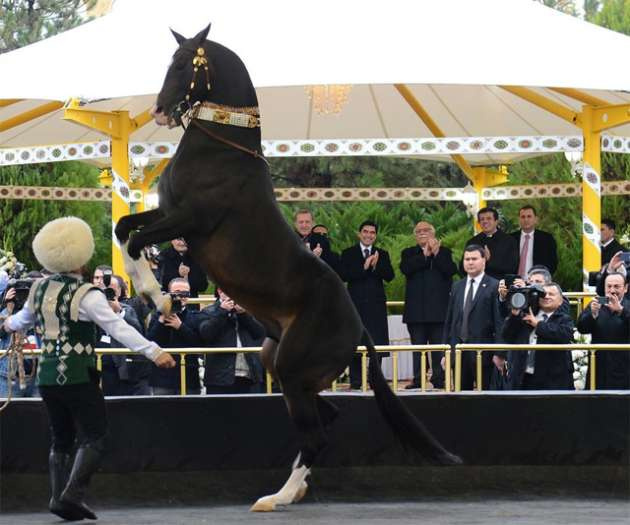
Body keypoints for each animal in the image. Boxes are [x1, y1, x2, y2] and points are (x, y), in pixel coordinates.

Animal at [116, 25, 462, 512]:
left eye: (184, 63)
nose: (160, 112)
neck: (219, 152)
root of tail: (359, 326)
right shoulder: (168, 214)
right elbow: (124, 229)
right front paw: (149, 294)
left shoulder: (190, 220)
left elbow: (133, 239)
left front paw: (157, 297)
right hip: (280, 365)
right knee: (326, 418)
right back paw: (295, 489)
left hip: (294, 371)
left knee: (317, 435)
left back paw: (276, 497)